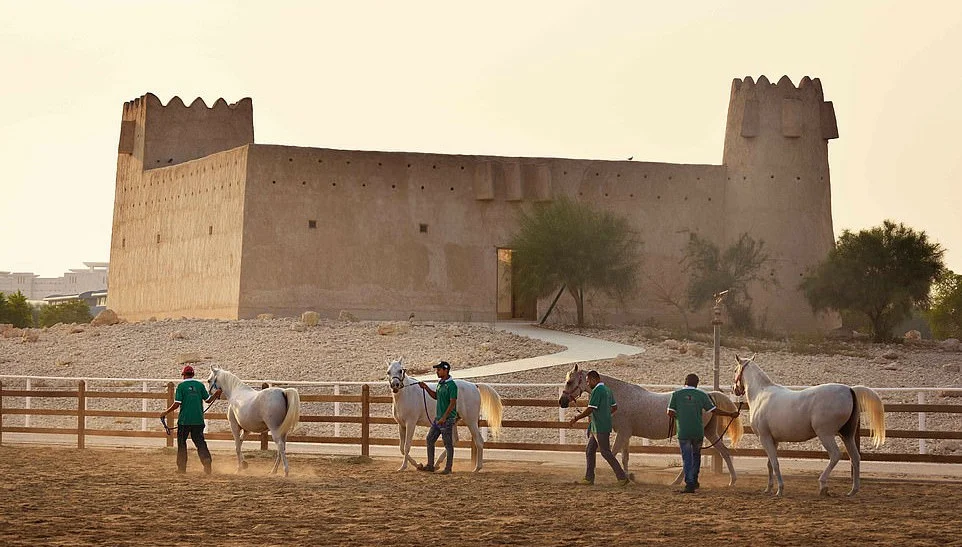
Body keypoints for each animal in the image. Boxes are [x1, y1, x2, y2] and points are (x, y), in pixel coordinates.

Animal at [556, 364, 744, 488]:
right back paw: (730, 481)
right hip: (708, 432)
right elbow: (624, 457)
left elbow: (612, 454)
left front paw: (621, 477)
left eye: (570, 381)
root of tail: (708, 396)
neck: (619, 396)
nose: (562, 401)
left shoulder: (622, 433)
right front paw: (629, 476)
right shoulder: (626, 434)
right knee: (724, 452)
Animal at [736, 354, 884, 498]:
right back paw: (853, 490)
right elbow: (769, 464)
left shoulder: (764, 437)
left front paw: (780, 490)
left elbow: (775, 463)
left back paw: (823, 485)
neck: (761, 395)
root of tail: (849, 390)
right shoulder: (773, 439)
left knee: (835, 455)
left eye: (735, 370)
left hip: (825, 434)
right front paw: (768, 489)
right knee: (855, 457)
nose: (735, 389)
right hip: (847, 435)